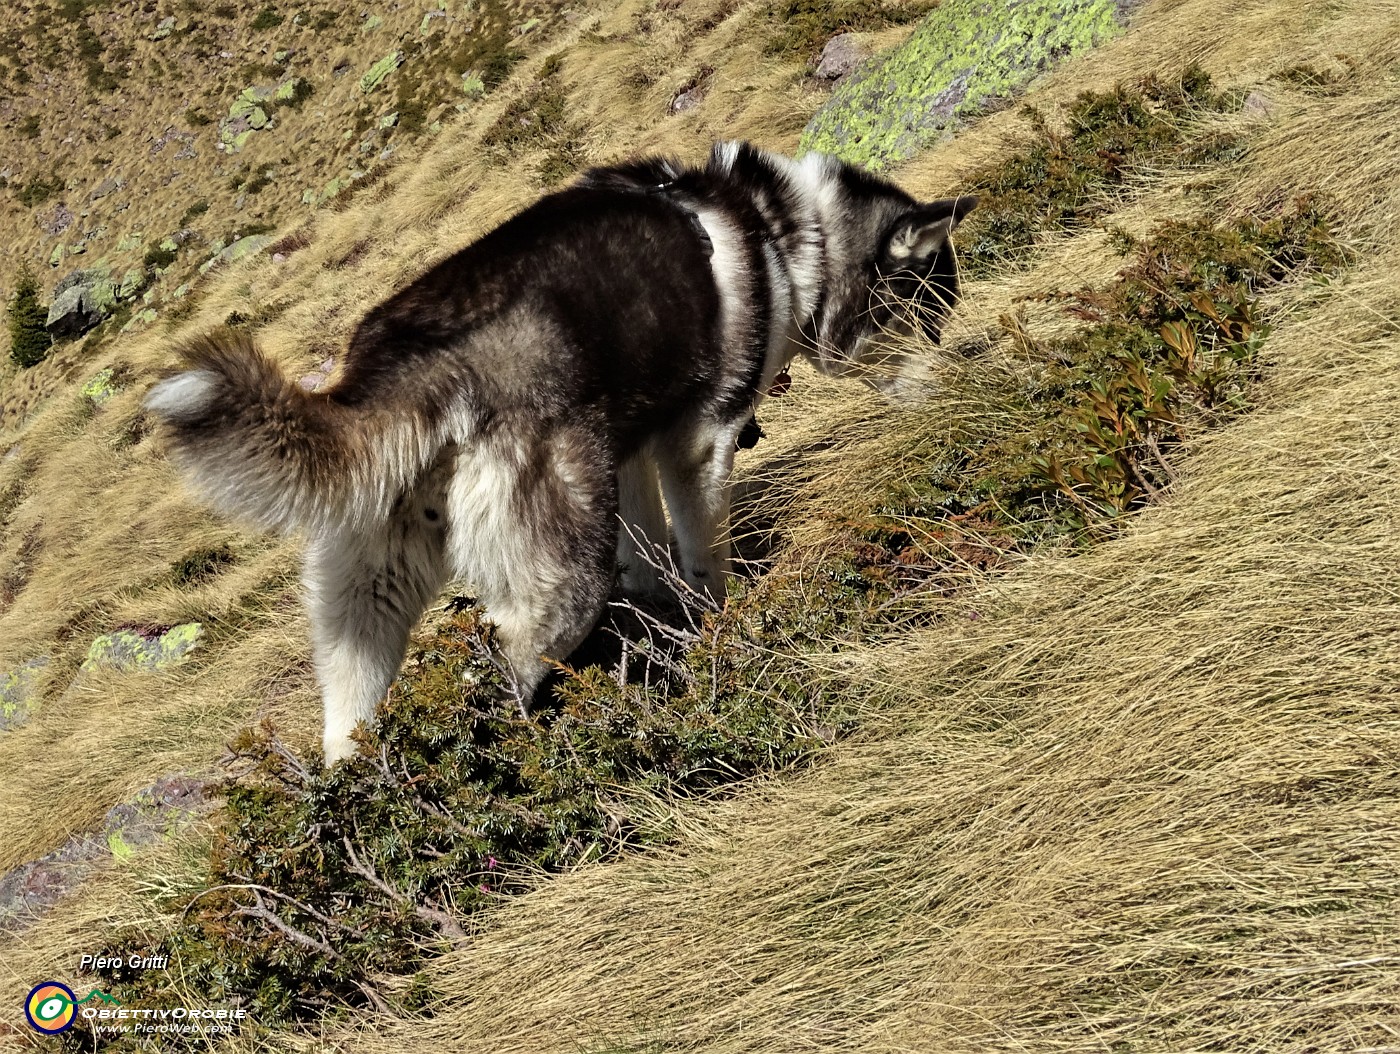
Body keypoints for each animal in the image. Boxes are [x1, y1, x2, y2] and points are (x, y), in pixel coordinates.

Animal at [144, 144, 974, 761]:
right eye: (930, 313)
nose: (963, 396)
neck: (783, 234)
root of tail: (411, 367)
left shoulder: (631, 453)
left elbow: (648, 555)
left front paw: (661, 626)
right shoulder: (701, 442)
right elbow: (704, 561)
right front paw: (719, 627)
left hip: (369, 597)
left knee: (352, 725)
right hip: (559, 581)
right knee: (510, 669)